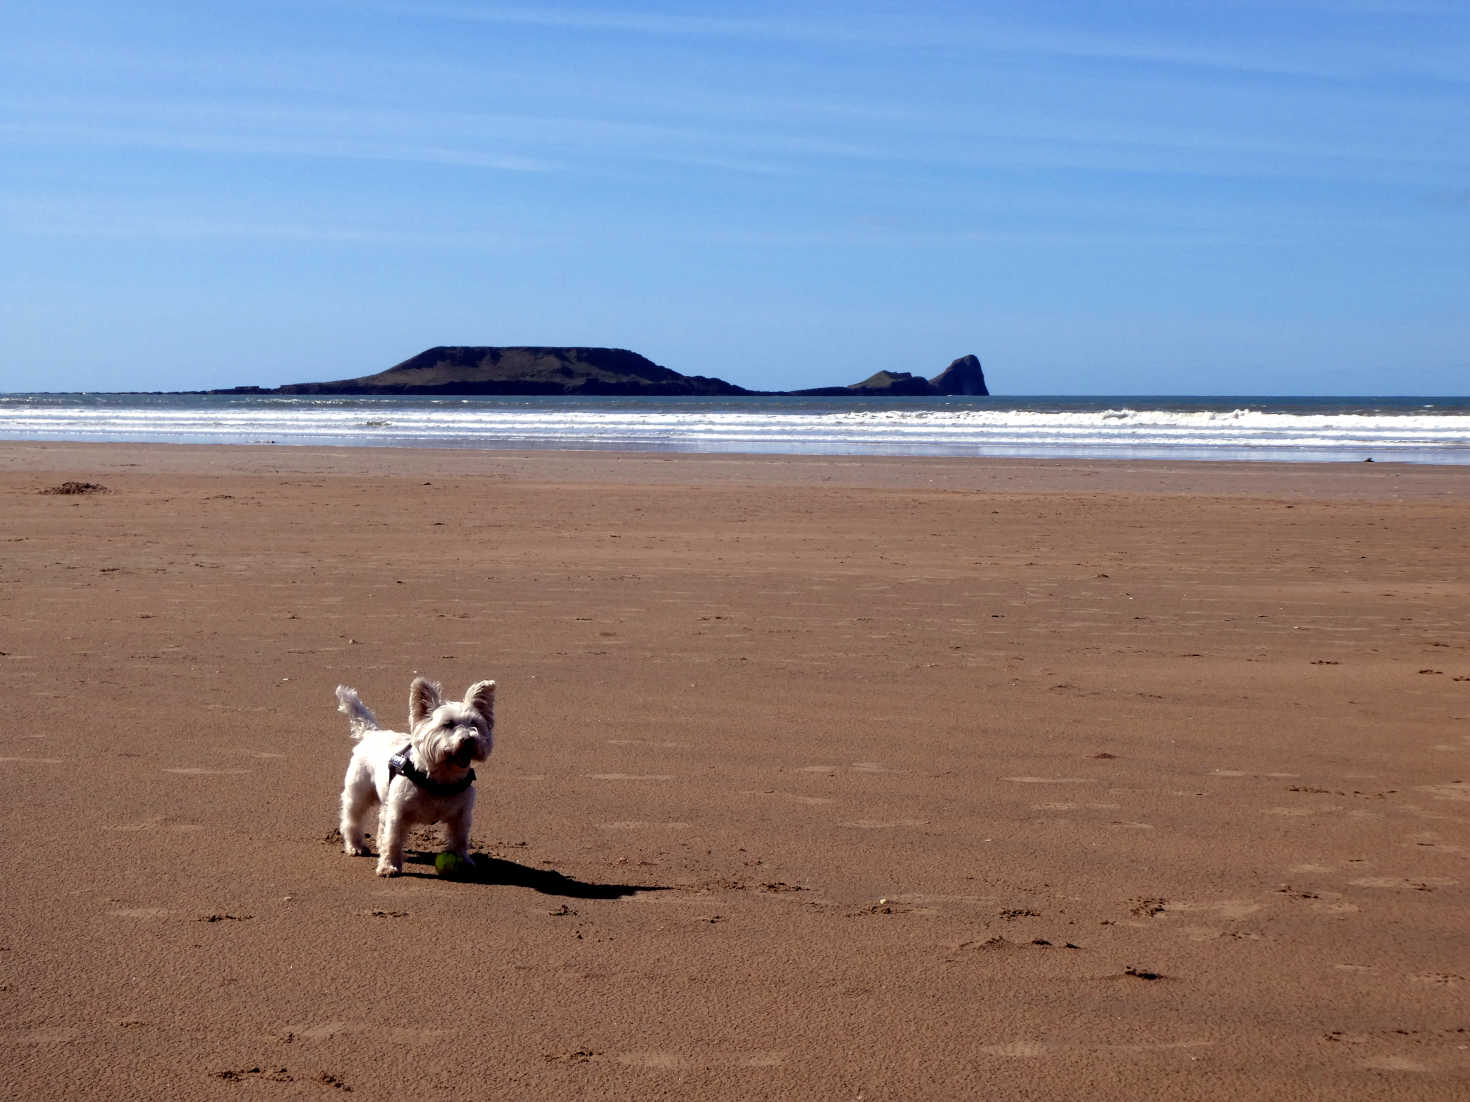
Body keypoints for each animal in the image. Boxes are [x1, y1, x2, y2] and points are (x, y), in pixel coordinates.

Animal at [336, 672, 496, 881]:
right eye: (448, 724)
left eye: (475, 724)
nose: (469, 740)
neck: (441, 779)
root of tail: (372, 733)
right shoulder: (398, 813)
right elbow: (393, 840)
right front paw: (389, 866)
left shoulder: (461, 816)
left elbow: (460, 840)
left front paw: (464, 862)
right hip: (359, 792)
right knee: (352, 819)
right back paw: (355, 846)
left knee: (381, 820)